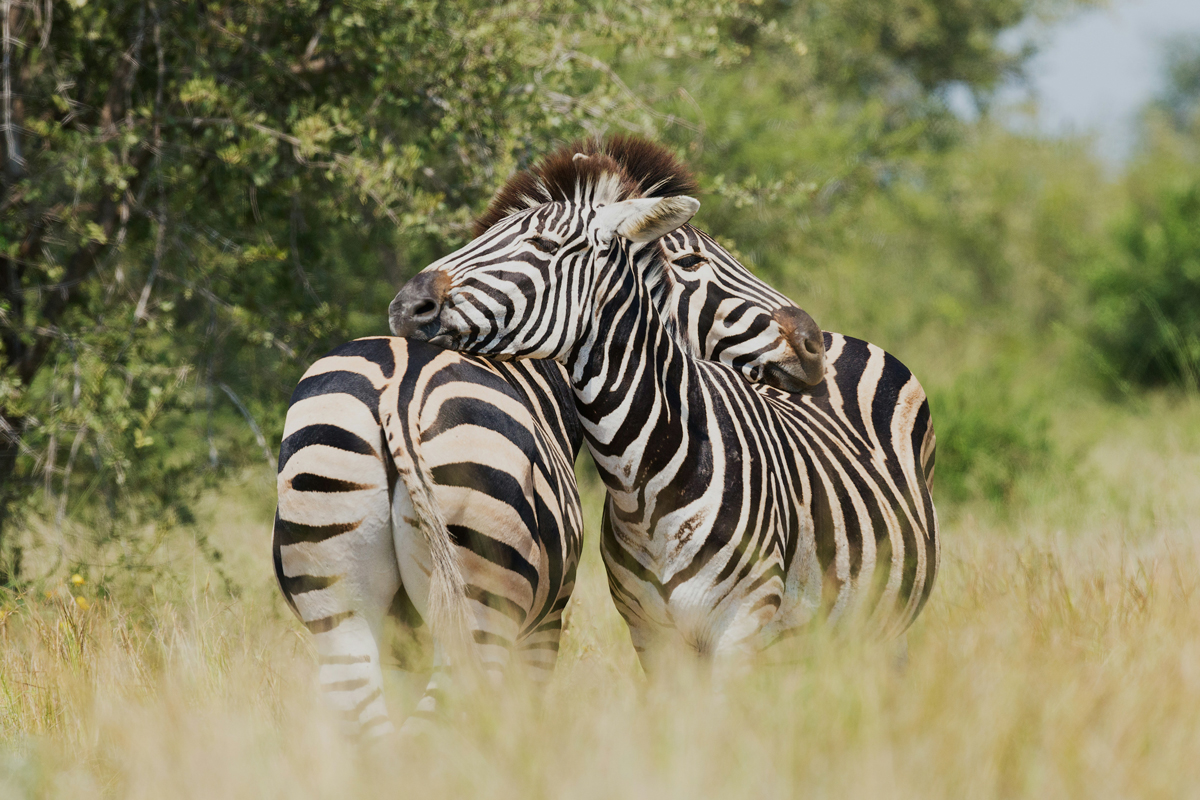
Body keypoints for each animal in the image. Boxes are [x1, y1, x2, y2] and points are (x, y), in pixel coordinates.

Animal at [274, 139, 829, 735]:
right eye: (690, 262)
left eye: (540, 242)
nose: (814, 343)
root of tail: (398, 390)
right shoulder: (545, 623)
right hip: (481, 606)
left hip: (342, 604)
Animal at [389, 140, 939, 677]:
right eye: (690, 261)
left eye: (543, 245)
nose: (404, 305)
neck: (648, 482)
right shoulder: (651, 635)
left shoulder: (740, 627)